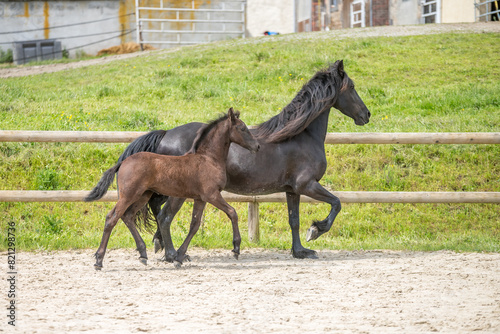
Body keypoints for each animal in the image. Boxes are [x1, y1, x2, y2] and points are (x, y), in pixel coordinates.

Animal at [84, 108, 260, 270]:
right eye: (242, 128)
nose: (257, 146)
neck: (208, 159)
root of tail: (122, 162)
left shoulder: (200, 198)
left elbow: (194, 225)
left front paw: (179, 257)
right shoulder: (212, 195)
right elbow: (232, 213)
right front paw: (236, 248)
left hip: (143, 195)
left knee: (128, 216)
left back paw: (143, 254)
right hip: (129, 195)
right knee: (112, 218)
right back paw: (99, 260)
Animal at [116, 60, 368, 260]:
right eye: (352, 87)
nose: (366, 115)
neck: (301, 136)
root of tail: (166, 133)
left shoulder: (292, 190)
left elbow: (294, 220)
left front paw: (300, 251)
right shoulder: (307, 185)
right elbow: (336, 203)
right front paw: (315, 231)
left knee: (157, 211)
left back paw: (162, 247)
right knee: (162, 214)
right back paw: (168, 251)